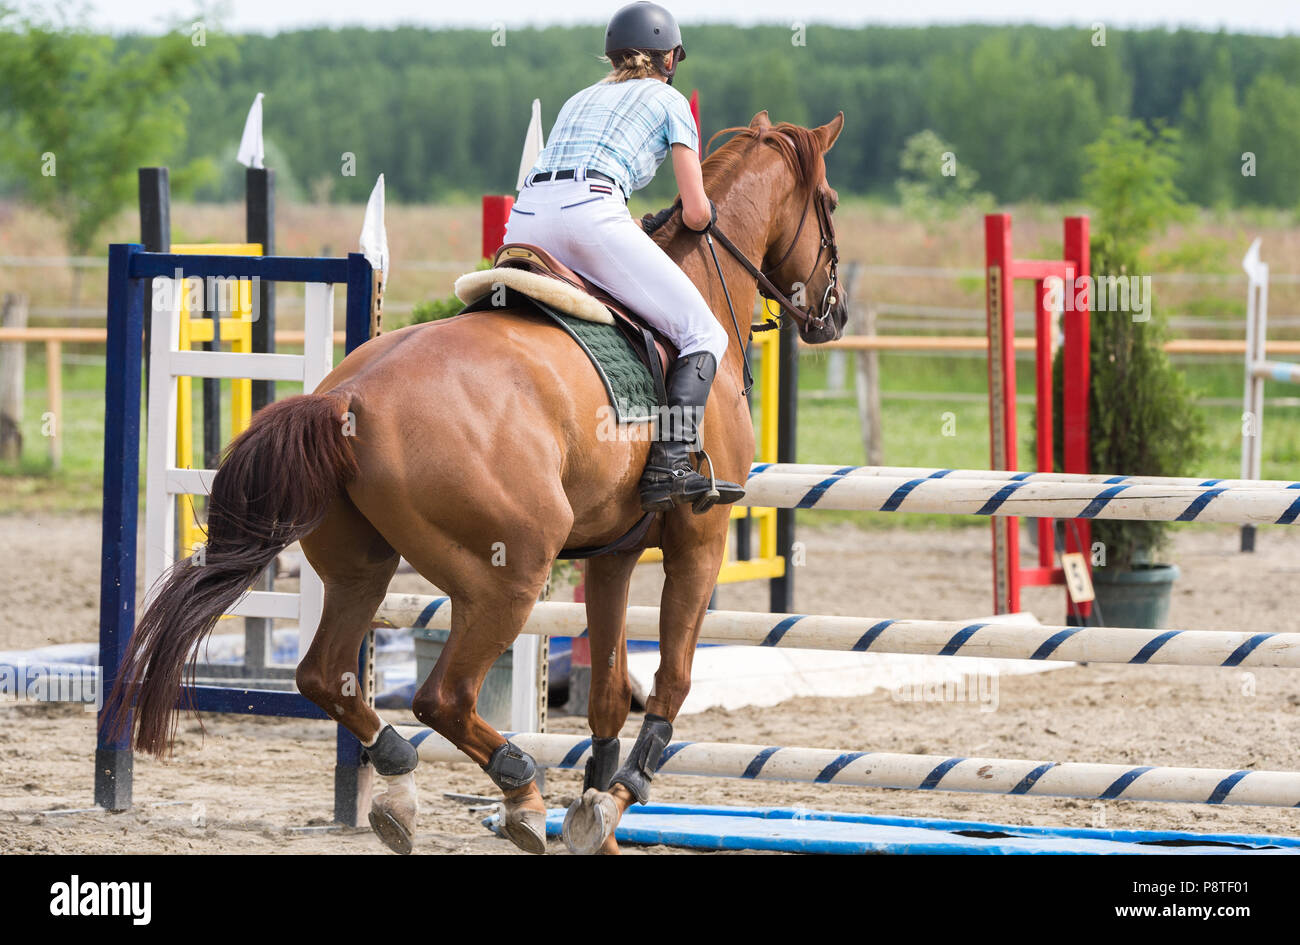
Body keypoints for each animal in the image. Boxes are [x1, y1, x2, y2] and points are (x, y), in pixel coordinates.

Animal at [105, 110, 847, 855]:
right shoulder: (700, 539)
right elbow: (672, 681)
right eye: (832, 203)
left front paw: (596, 821)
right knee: (444, 697)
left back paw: (400, 787)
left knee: (327, 675)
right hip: (510, 572)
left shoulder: (613, 554)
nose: (834, 315)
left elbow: (608, 692)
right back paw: (519, 795)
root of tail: (346, 397)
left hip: (362, 567)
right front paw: (617, 797)